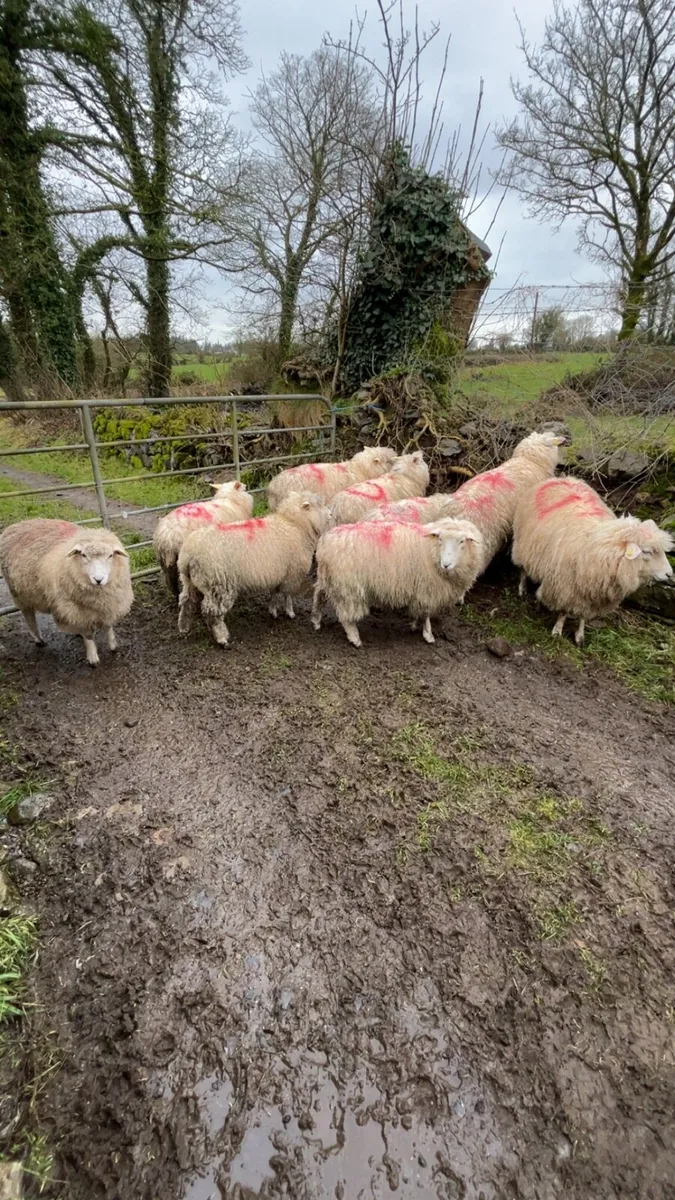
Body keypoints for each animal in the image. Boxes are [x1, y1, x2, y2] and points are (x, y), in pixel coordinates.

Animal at [0, 518, 133, 666]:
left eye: (110, 555)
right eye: (83, 555)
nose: (98, 579)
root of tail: (17, 524)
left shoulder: (110, 604)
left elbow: (108, 626)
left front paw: (113, 646)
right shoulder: (78, 611)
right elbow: (88, 635)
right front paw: (93, 657)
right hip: (19, 593)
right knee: (29, 615)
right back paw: (38, 639)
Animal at [177, 491, 331, 646]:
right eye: (319, 505)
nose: (330, 513)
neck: (294, 525)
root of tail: (188, 555)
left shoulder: (277, 574)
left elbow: (274, 593)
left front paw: (273, 611)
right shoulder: (292, 574)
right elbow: (287, 595)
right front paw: (290, 612)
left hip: (190, 581)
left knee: (186, 601)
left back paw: (184, 627)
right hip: (218, 586)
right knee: (212, 612)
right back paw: (222, 638)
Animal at [311, 516, 484, 647]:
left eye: (462, 541)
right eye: (440, 539)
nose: (446, 564)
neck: (430, 549)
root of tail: (324, 543)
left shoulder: (419, 590)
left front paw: (414, 623)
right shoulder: (427, 589)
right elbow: (426, 614)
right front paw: (427, 634)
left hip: (328, 578)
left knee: (318, 596)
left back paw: (316, 620)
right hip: (348, 587)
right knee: (347, 617)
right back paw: (355, 638)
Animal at [511, 475, 674, 645]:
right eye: (647, 551)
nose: (670, 574)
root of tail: (560, 478)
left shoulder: (590, 594)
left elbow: (583, 615)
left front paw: (580, 636)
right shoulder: (564, 586)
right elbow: (563, 611)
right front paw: (557, 631)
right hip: (523, 546)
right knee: (523, 570)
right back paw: (522, 590)